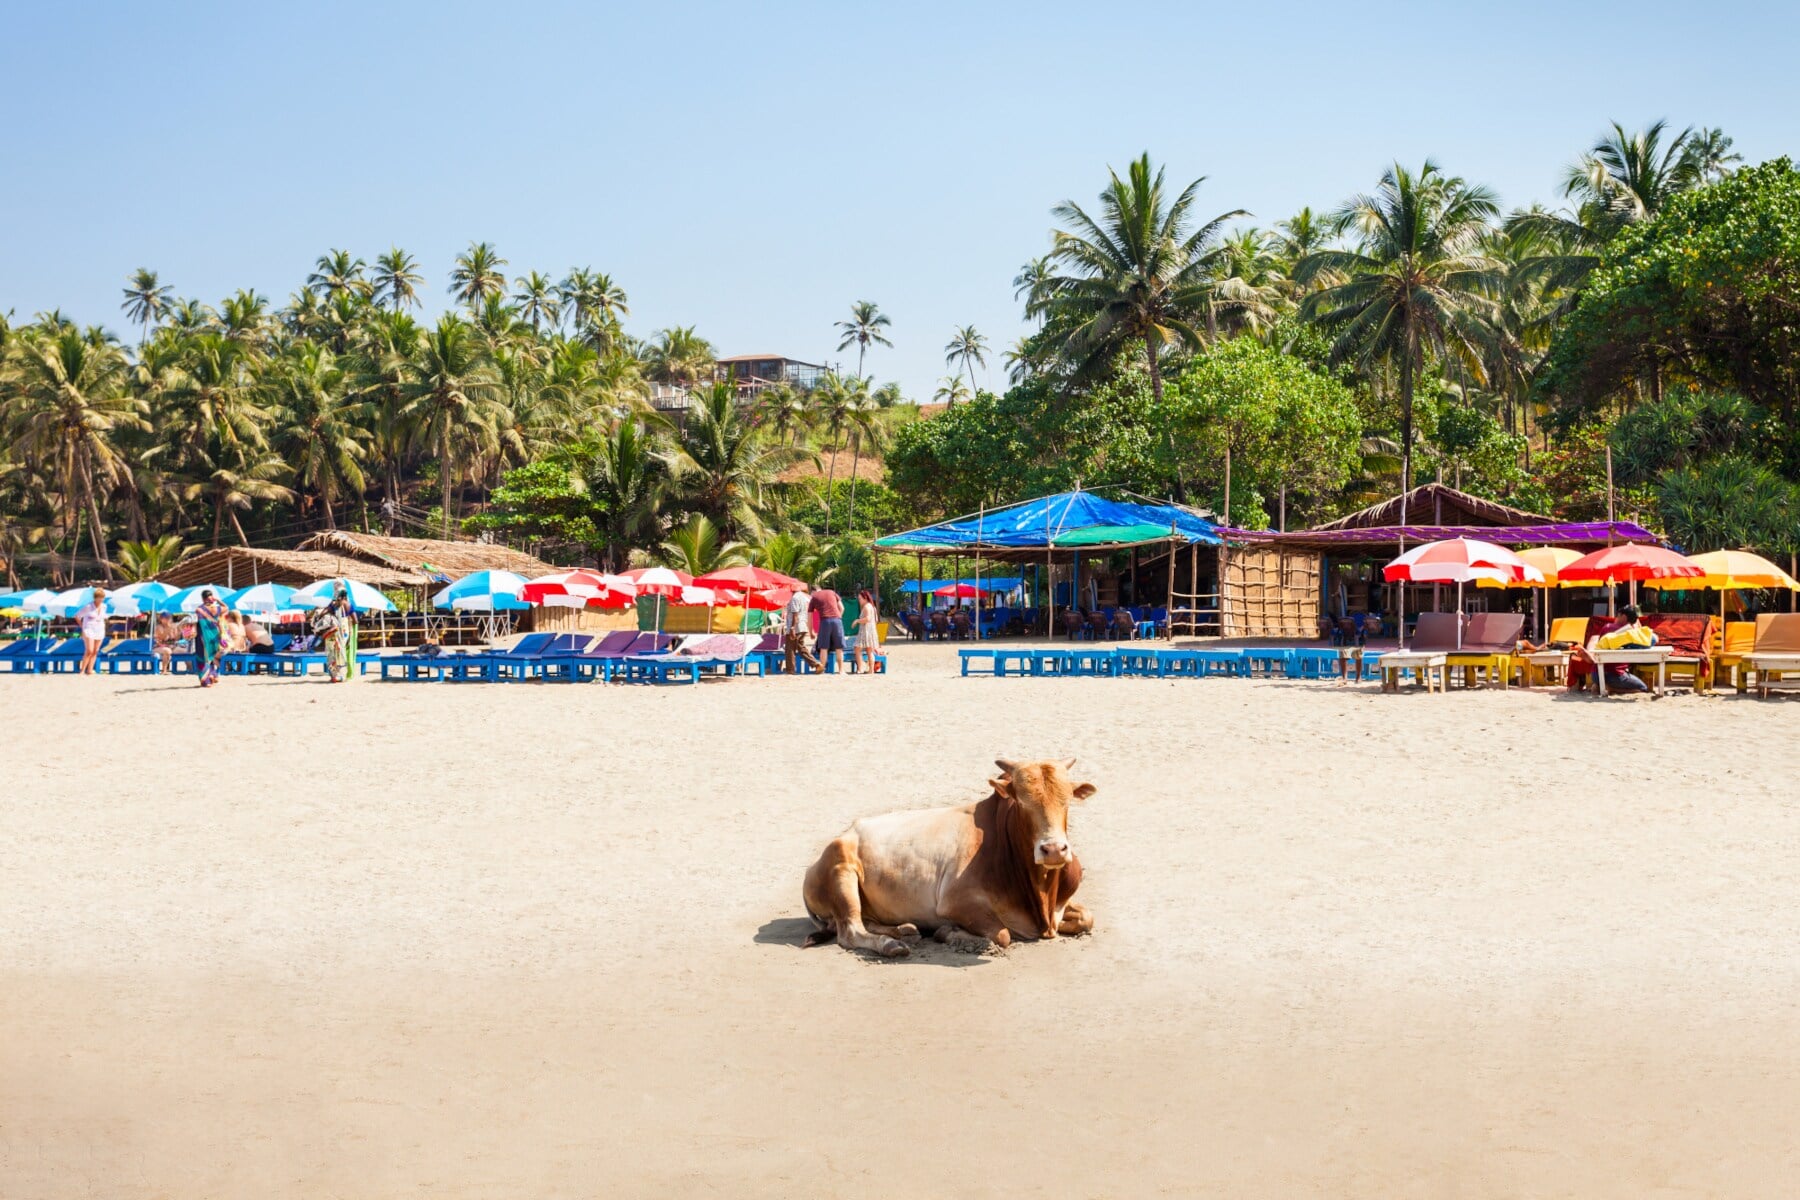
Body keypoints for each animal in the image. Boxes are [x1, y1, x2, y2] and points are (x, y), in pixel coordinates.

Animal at [802, 758, 1096, 957]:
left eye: (1067, 801)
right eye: (1021, 802)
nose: (1054, 850)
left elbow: (1086, 917)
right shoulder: (955, 903)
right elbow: (1002, 934)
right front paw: (951, 934)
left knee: (865, 923)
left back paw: (904, 930)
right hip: (842, 872)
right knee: (850, 930)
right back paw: (892, 944)